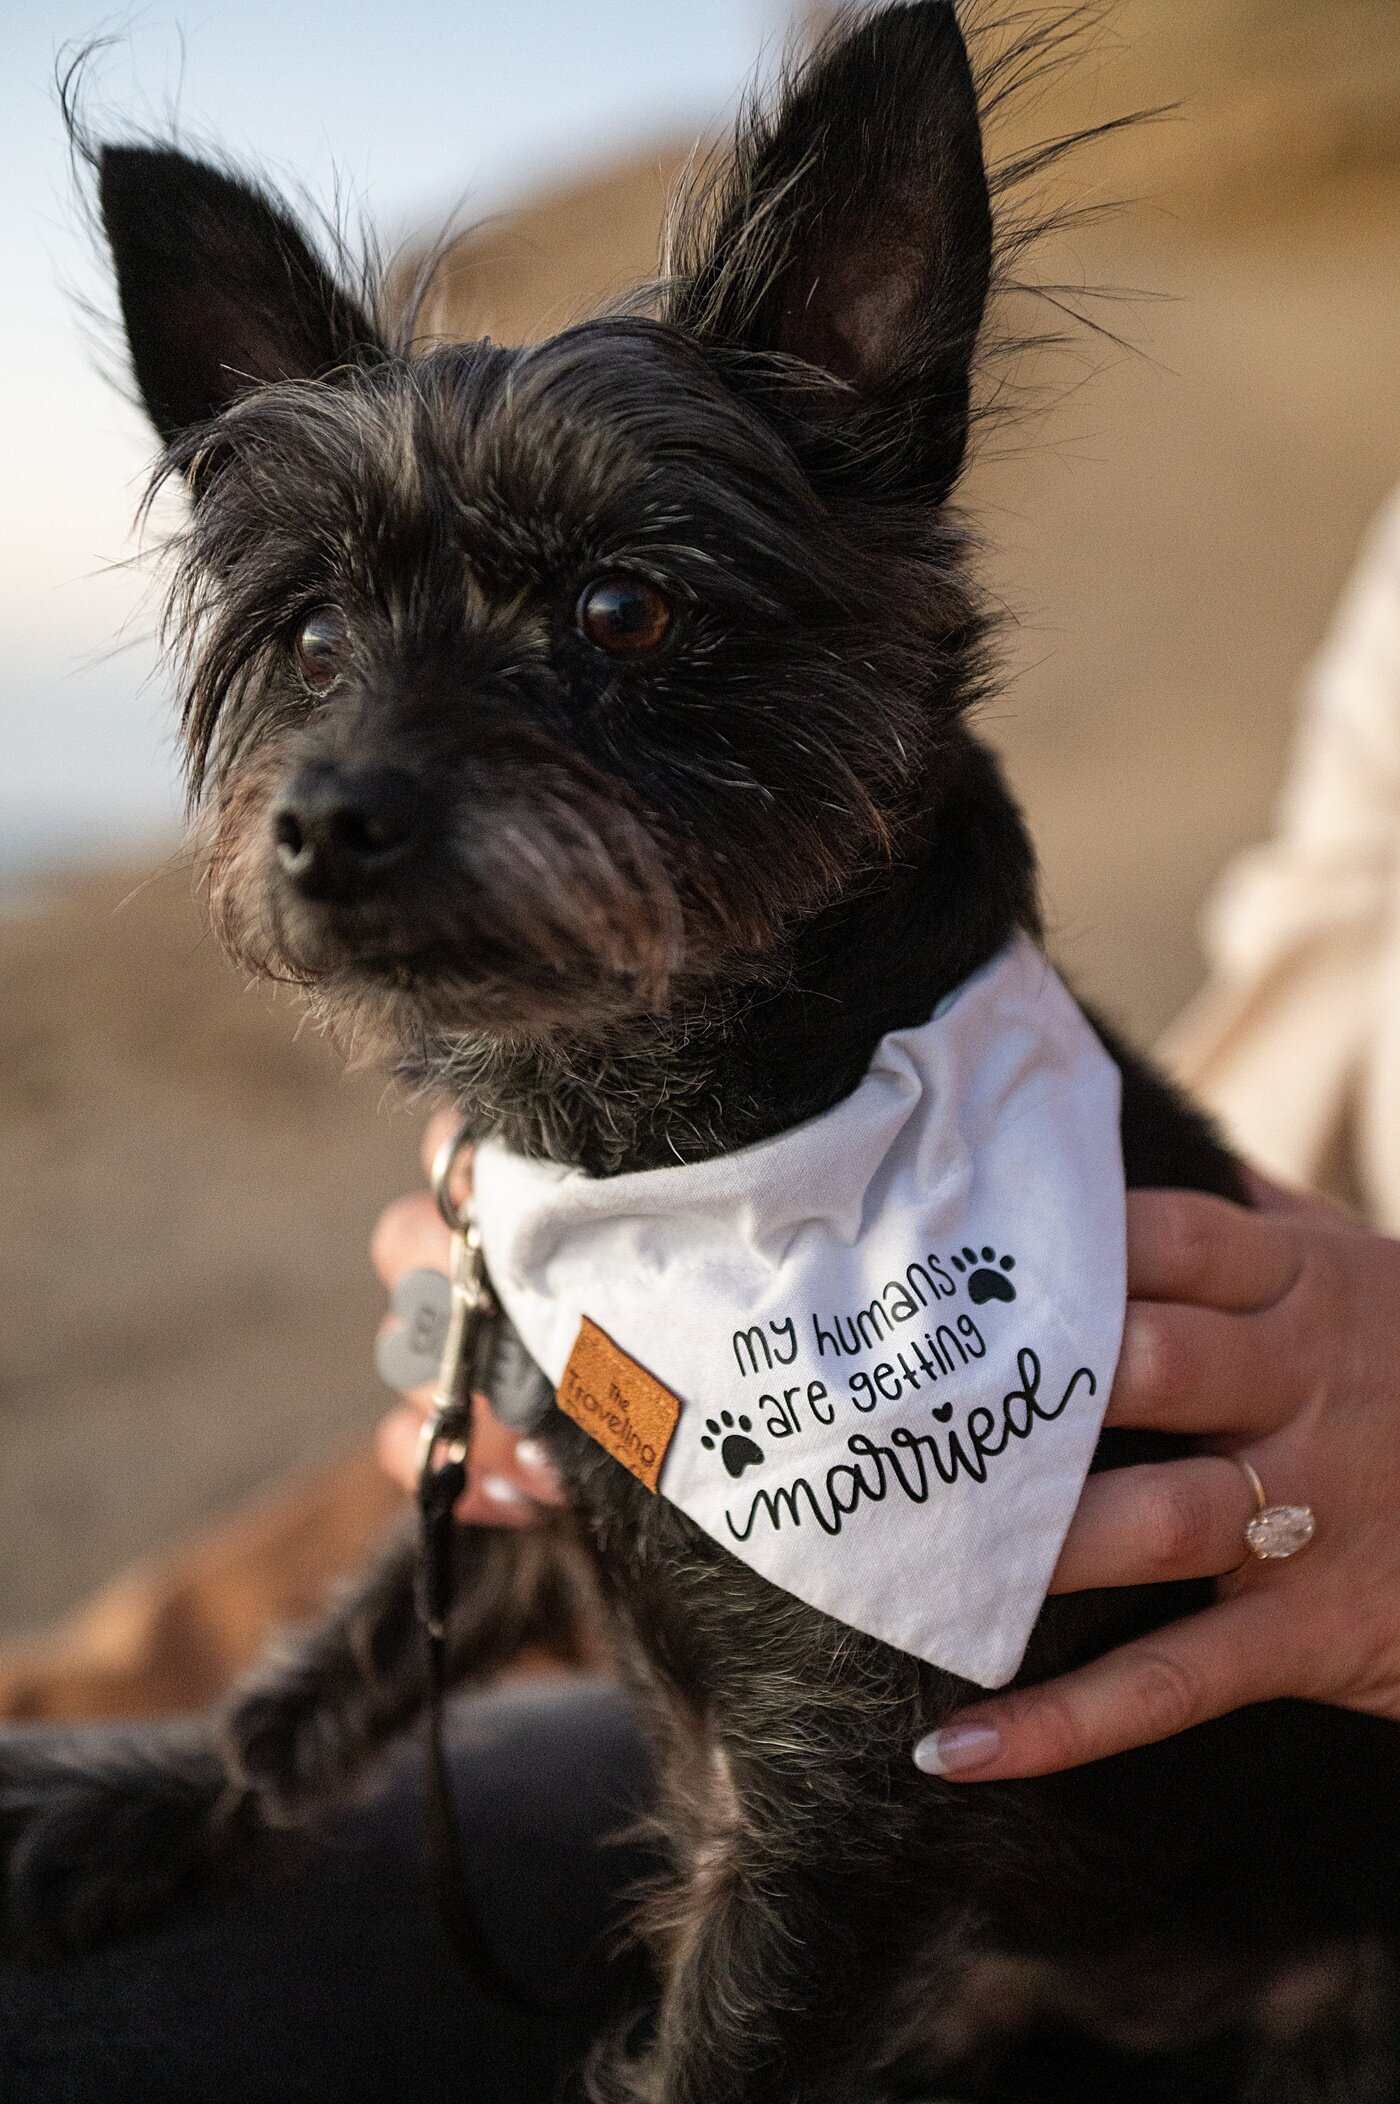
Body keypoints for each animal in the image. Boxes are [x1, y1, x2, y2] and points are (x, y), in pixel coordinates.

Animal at [2, 8, 1397, 2095]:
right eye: (313, 636)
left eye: (622, 605)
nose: (324, 819)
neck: (669, 1146)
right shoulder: (503, 1464)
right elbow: (336, 1657)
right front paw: (150, 1797)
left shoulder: (843, 1802)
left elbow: (711, 2045)